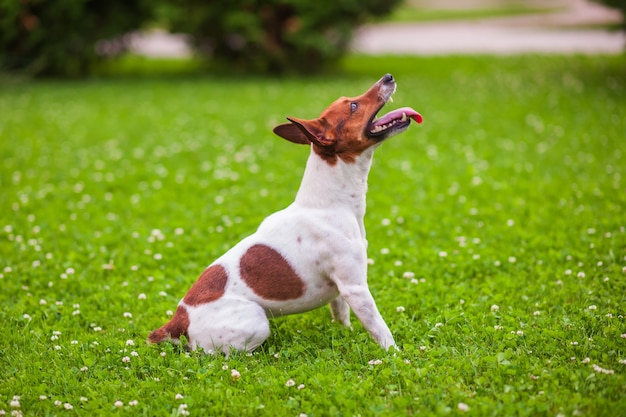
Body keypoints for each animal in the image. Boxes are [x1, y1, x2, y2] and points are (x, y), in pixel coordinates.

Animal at [147, 73, 420, 352]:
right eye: (353, 106)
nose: (388, 76)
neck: (329, 203)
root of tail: (177, 320)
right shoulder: (356, 288)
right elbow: (381, 330)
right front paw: (395, 355)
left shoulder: (341, 290)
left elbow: (341, 314)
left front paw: (345, 333)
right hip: (256, 321)